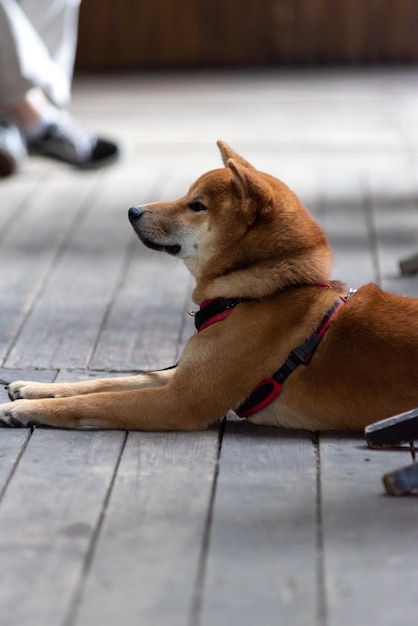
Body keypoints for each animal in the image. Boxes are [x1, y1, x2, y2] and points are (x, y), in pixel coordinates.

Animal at [0, 142, 418, 432]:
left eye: (196, 206)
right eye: (188, 197)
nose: (133, 211)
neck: (257, 293)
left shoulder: (181, 400)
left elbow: (97, 402)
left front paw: (27, 409)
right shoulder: (185, 372)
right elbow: (109, 382)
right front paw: (36, 388)